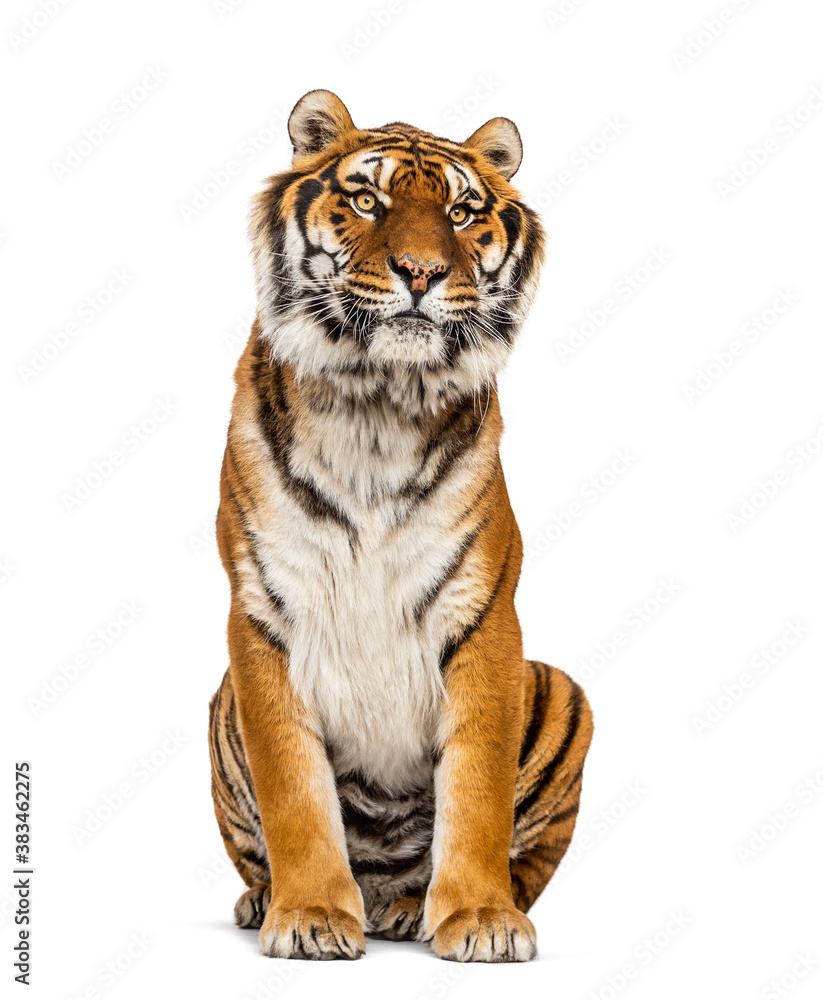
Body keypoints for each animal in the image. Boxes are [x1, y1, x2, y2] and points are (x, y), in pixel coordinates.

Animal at [208, 89, 593, 963]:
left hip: (563, 689)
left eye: (459, 212)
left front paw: (480, 919)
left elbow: (477, 787)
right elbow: (293, 788)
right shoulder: (262, 615)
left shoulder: (482, 615)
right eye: (366, 201)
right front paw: (309, 915)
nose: (421, 272)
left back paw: (415, 905)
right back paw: (273, 899)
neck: (375, 403)